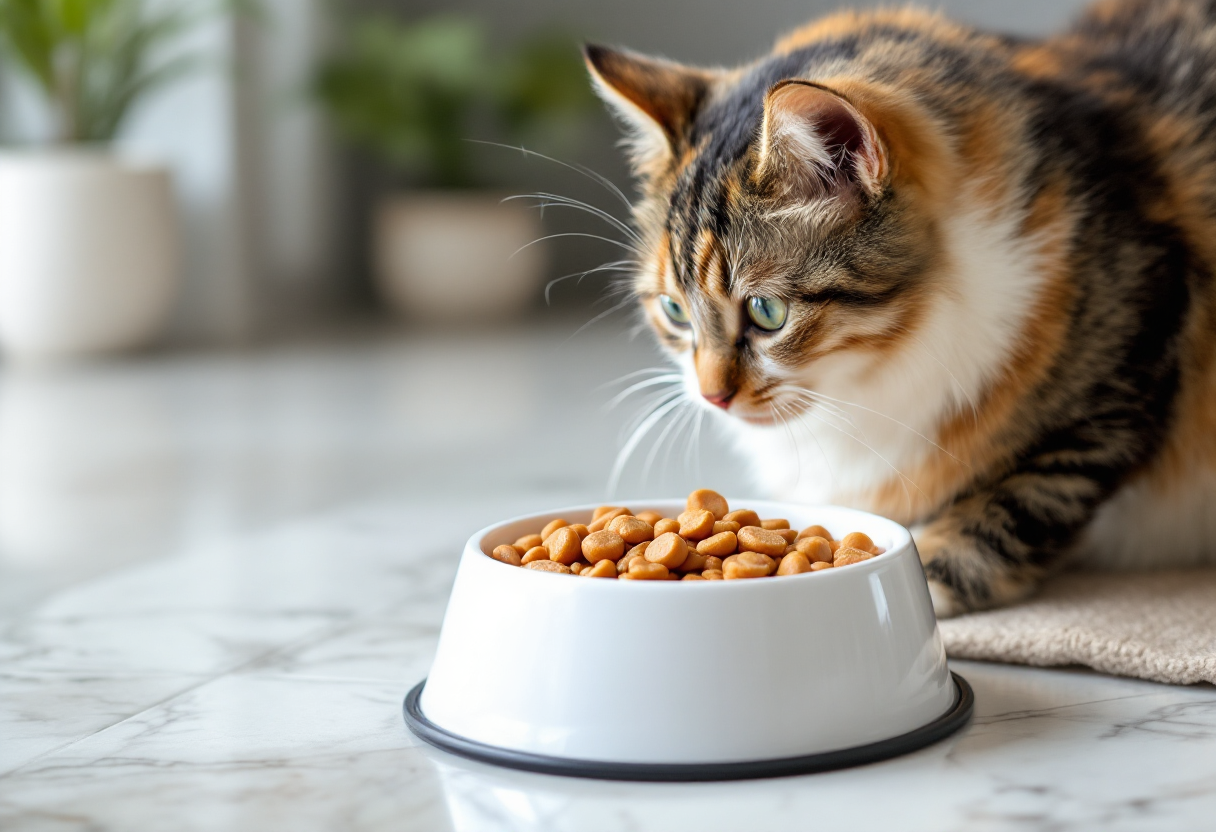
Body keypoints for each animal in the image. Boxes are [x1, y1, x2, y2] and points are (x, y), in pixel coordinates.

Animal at [581, 0, 1216, 610]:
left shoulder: (1124, 366)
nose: (713, 396)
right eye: (675, 312)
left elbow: (1019, 502)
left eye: (766, 313)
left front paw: (926, 575)